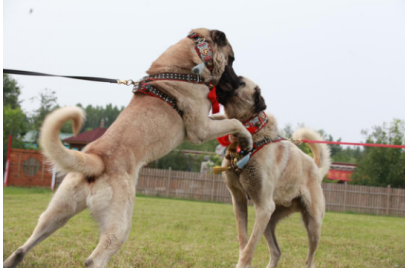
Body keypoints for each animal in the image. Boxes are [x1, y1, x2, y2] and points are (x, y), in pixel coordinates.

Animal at [2, 27, 252, 268]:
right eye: (231, 60)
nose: (237, 83)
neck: (188, 62)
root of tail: (97, 159)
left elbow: (228, 120)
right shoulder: (200, 128)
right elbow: (235, 122)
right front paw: (247, 138)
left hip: (57, 214)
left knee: (22, 248)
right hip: (120, 224)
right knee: (94, 259)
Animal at [210, 76, 330, 266]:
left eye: (240, 81)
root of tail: (316, 169)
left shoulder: (263, 207)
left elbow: (249, 247)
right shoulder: (239, 201)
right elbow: (243, 240)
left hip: (313, 224)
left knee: (309, 260)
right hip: (269, 221)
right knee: (276, 251)